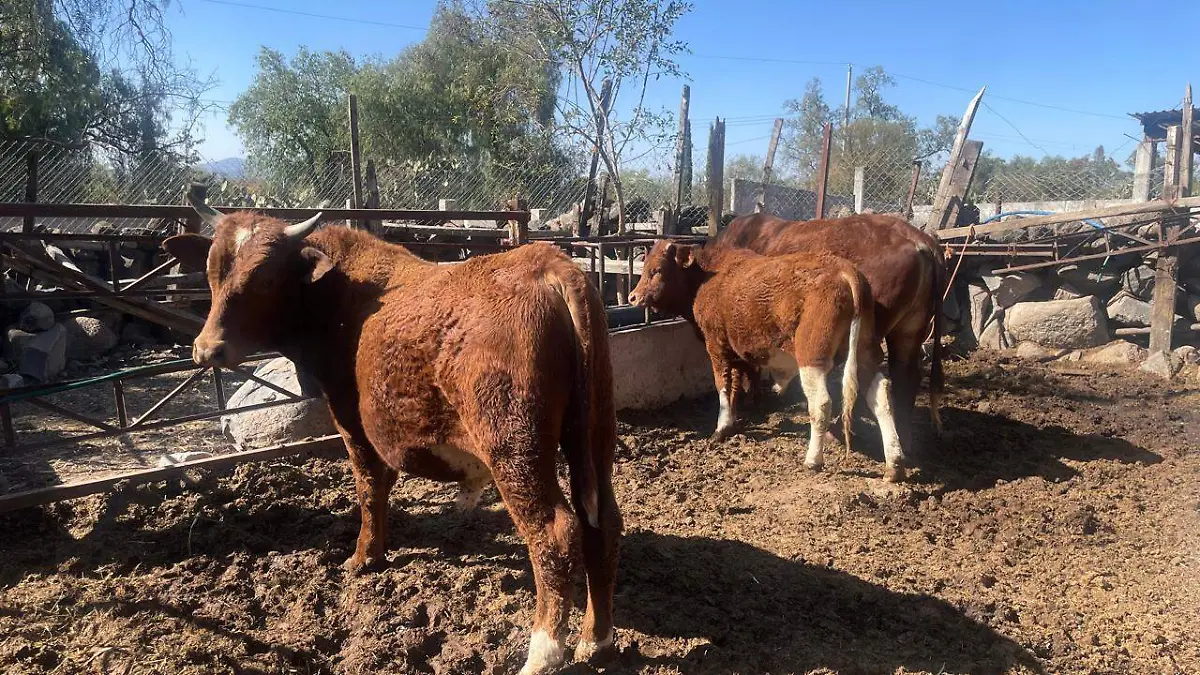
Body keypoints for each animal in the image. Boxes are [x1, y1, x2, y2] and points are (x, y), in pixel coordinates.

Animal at [163, 192, 622, 675]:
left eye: (267, 278)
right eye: (212, 271)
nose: (207, 349)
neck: (341, 295)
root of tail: (549, 265)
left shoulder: (353, 423)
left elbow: (371, 488)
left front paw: (364, 556)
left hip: (514, 448)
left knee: (555, 532)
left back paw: (543, 653)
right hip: (593, 436)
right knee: (602, 521)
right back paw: (596, 638)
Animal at [628, 242, 907, 482]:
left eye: (657, 270)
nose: (632, 297)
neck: (708, 277)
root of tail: (845, 270)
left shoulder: (716, 346)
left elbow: (723, 385)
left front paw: (722, 428)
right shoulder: (740, 351)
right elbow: (740, 381)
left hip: (812, 356)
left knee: (821, 403)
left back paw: (813, 460)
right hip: (864, 353)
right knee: (881, 397)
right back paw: (894, 464)